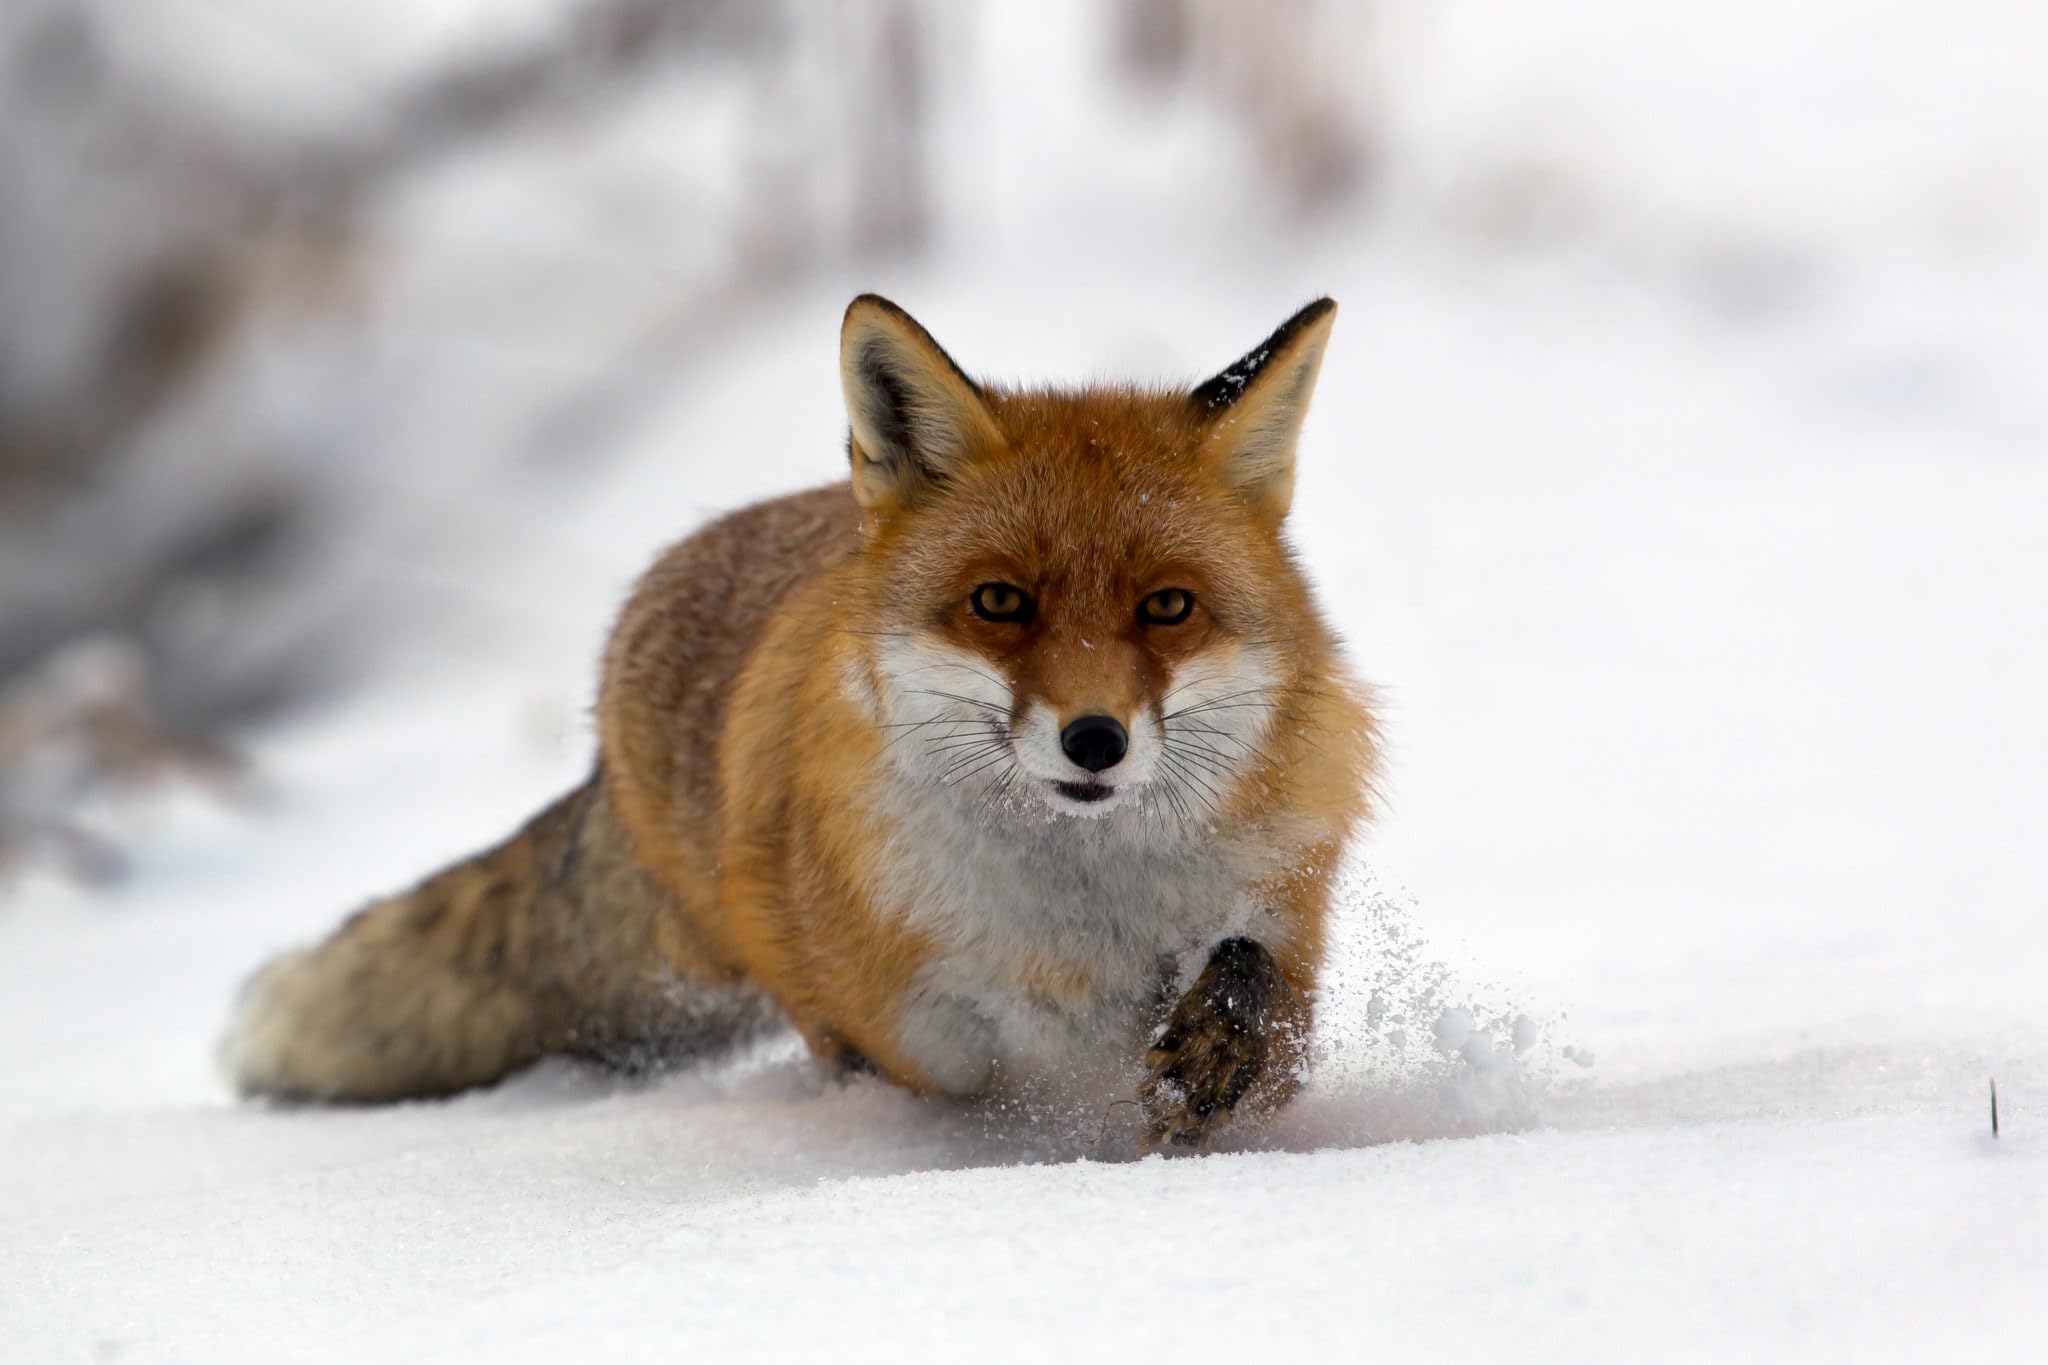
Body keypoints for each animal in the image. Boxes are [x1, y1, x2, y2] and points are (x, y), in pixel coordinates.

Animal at [223, 295, 1380, 1148]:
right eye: (999, 601)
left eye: (1167, 607)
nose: (1094, 739)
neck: (1081, 911)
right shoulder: (911, 1029)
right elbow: (977, 1065)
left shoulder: (1286, 903)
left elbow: (1251, 982)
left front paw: (1210, 1054)